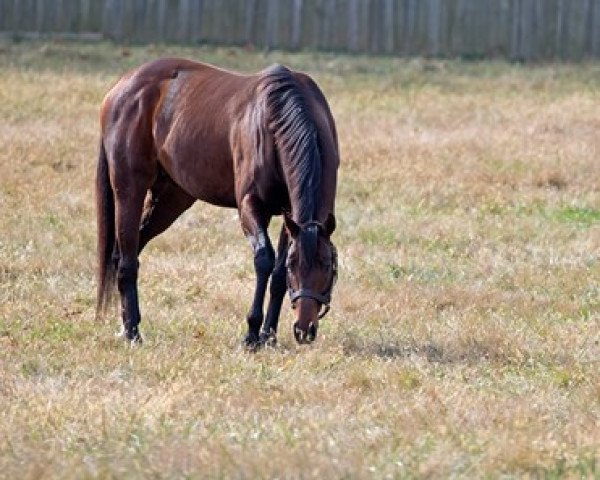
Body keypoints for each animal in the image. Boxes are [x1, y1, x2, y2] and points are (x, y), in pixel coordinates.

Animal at [94, 58, 338, 346]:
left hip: (171, 199)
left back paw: (124, 325)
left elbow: (277, 276)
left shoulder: (290, 217)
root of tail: (122, 85)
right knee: (127, 261)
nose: (304, 329)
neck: (276, 121)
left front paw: (268, 336)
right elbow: (264, 260)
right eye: (295, 266)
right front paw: (251, 334)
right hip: (129, 189)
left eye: (327, 265)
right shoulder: (250, 206)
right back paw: (133, 333)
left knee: (126, 251)